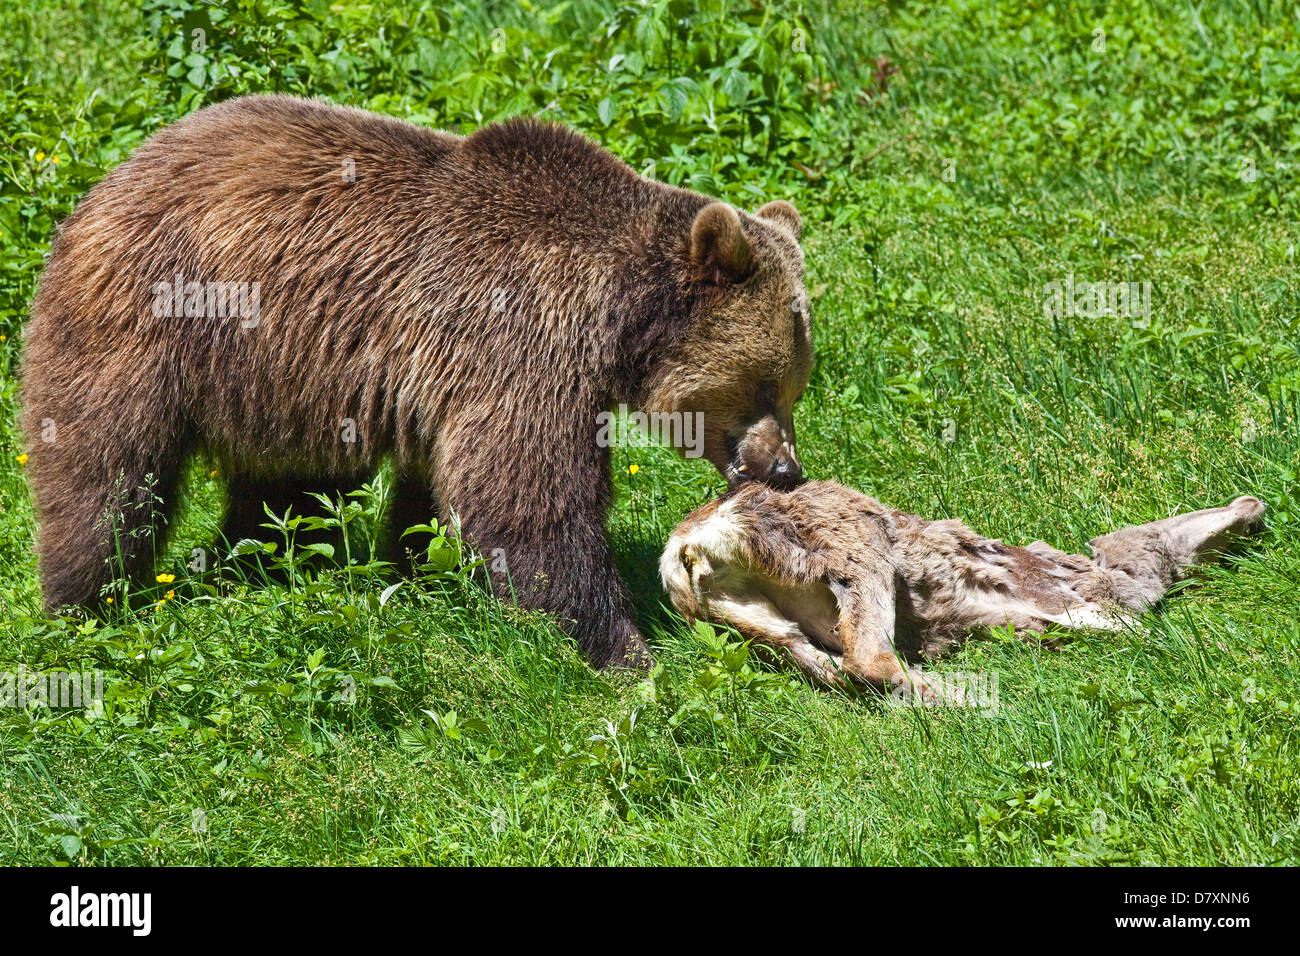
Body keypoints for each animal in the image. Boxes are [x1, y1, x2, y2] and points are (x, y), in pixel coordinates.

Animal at [22, 93, 811, 671]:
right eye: (761, 384)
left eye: (795, 385)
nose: (785, 469)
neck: (613, 322)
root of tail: (107, 179)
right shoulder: (519, 340)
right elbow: (529, 498)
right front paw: (622, 651)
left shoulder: (456, 375)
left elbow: (439, 487)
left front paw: (417, 569)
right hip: (151, 319)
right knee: (108, 470)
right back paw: (88, 605)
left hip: (281, 379)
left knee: (288, 488)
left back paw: (250, 565)